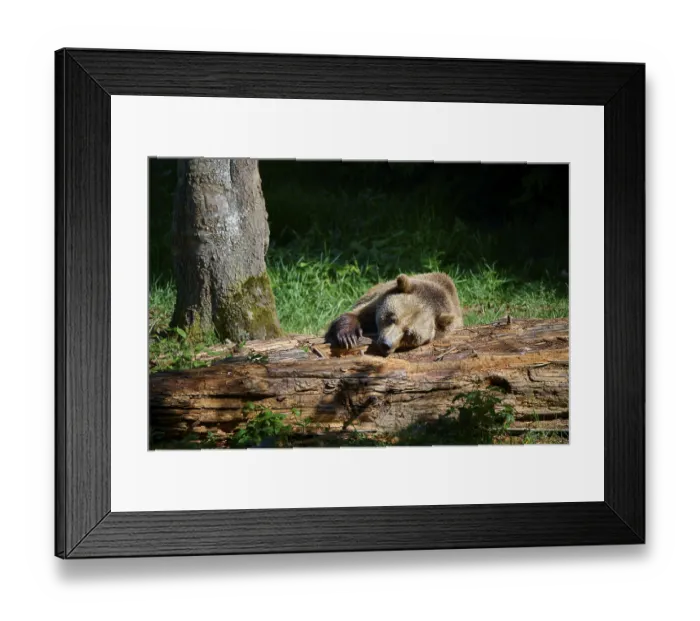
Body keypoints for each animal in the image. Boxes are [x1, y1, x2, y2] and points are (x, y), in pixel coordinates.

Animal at [324, 272, 463, 356]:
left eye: (409, 334)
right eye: (391, 318)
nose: (386, 344)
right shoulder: (376, 303)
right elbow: (355, 314)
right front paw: (348, 336)